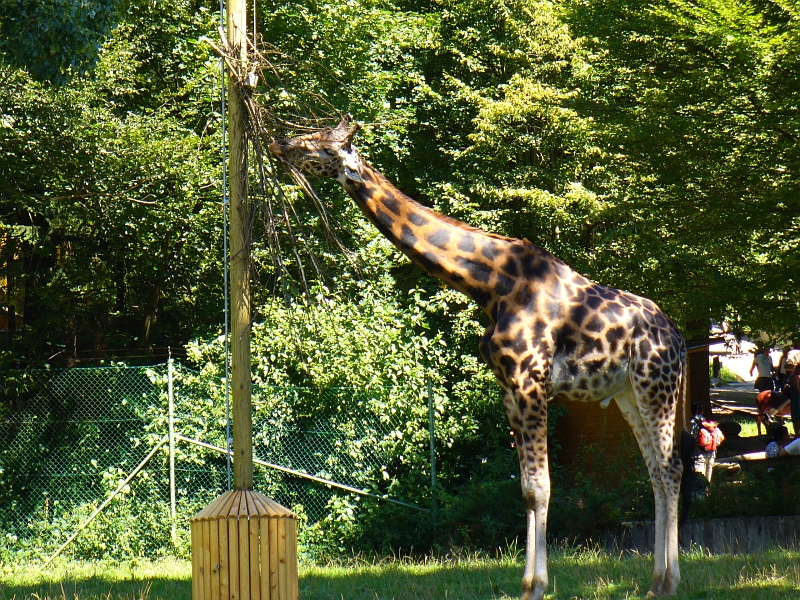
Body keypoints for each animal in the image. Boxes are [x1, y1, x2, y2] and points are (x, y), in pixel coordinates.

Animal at [269, 115, 694, 600]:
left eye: (317, 144)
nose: (278, 144)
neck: (489, 284)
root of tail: (679, 340)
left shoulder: (531, 381)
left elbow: (541, 487)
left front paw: (536, 587)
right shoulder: (509, 387)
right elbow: (526, 489)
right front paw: (527, 584)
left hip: (656, 386)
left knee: (671, 467)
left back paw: (669, 581)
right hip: (627, 393)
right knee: (655, 471)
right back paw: (654, 581)